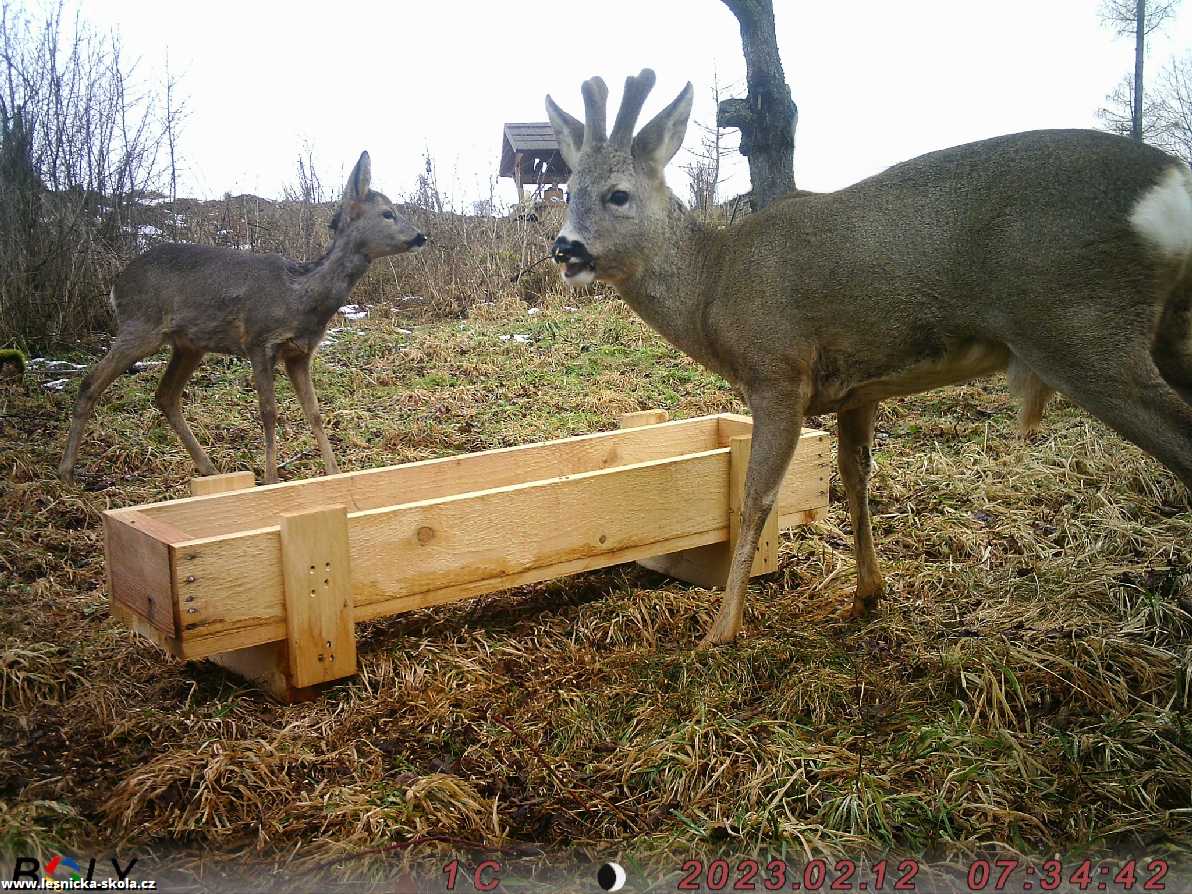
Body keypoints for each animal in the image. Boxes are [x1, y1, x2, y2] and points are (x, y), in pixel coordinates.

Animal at [60, 154, 426, 491]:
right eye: (388, 213)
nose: (421, 236)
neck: (301, 296)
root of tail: (117, 282)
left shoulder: (300, 352)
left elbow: (314, 412)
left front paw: (334, 473)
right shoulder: (259, 340)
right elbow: (269, 411)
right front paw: (271, 479)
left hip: (188, 344)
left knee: (165, 395)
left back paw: (209, 469)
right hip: (140, 325)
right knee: (90, 382)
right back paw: (66, 471)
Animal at [545, 68, 1192, 643]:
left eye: (618, 195)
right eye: (568, 192)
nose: (564, 248)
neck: (714, 288)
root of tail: (1172, 183)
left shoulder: (778, 371)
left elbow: (756, 499)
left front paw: (720, 631)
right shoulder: (859, 388)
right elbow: (855, 477)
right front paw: (866, 594)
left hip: (1080, 326)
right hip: (1158, 332)